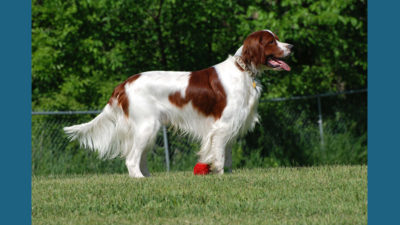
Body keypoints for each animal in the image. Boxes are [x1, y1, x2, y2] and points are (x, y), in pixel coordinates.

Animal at [64, 29, 292, 178]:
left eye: (277, 39)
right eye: (271, 42)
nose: (291, 46)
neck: (243, 70)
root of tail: (124, 84)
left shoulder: (232, 126)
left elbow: (226, 155)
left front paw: (228, 173)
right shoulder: (222, 126)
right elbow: (219, 154)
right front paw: (219, 175)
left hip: (149, 129)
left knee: (141, 157)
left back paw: (149, 178)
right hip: (147, 126)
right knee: (131, 158)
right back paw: (139, 179)